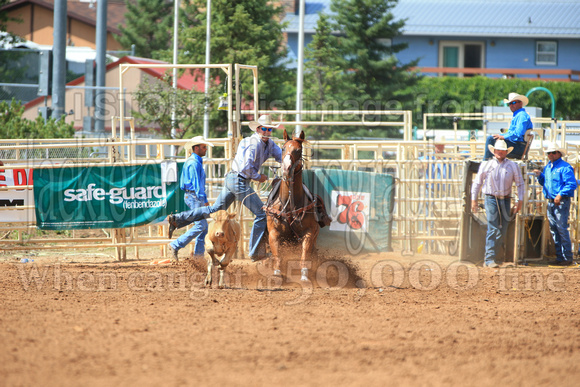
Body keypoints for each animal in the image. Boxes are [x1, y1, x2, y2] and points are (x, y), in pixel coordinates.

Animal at [266, 128, 322, 282]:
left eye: (298, 150)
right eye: (283, 148)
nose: (286, 168)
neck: (289, 204)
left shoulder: (309, 232)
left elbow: (304, 256)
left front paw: (304, 276)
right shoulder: (273, 233)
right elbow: (277, 256)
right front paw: (277, 274)